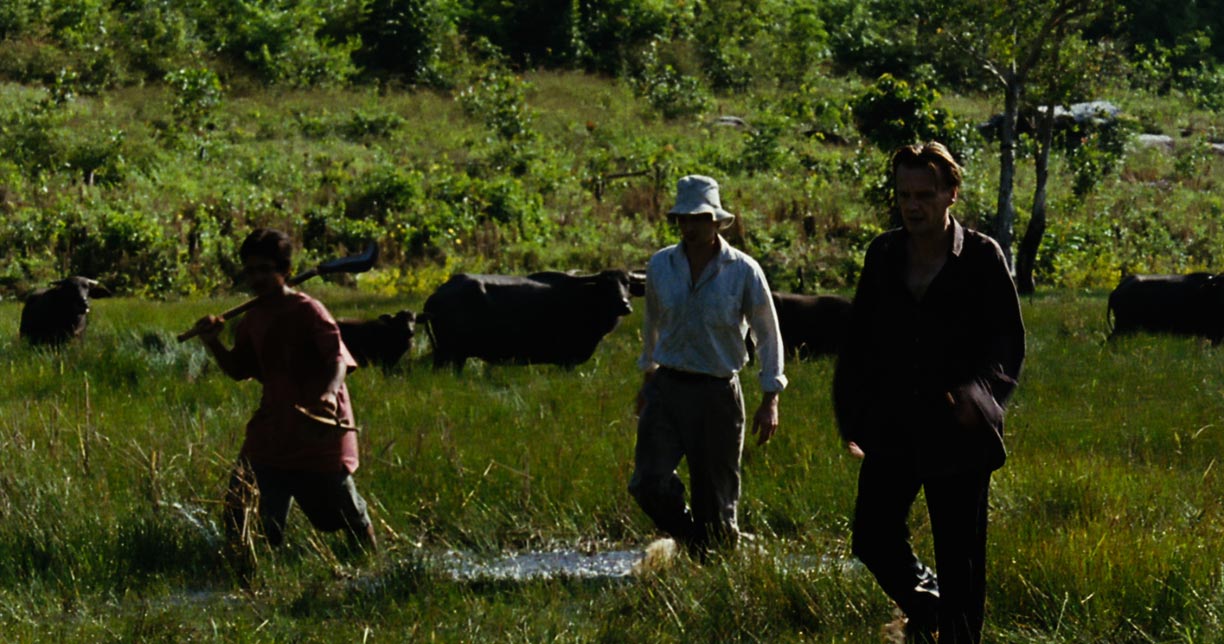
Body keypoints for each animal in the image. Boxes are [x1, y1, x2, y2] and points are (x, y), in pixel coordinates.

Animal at [423, 270, 641, 372]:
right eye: (606, 285)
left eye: (627, 283)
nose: (625, 305)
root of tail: (435, 297)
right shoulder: (567, 361)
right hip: (450, 353)